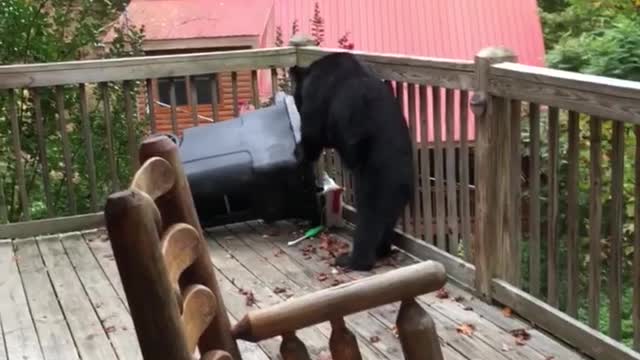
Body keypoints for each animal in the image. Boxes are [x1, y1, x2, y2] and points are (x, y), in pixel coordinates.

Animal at [290, 51, 416, 270]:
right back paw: (382, 251)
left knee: (369, 217)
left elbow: (314, 134)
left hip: (375, 177)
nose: (296, 102)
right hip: (398, 192)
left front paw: (299, 151)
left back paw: (352, 260)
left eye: (297, 98)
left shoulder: (318, 99)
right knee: (388, 219)